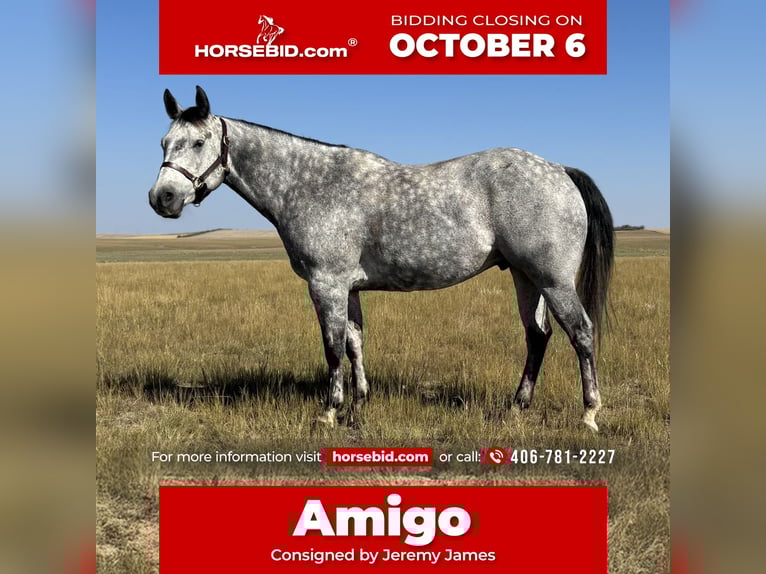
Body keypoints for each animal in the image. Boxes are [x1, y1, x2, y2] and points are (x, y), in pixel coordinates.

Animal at [149, 86, 614, 431]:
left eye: (199, 141)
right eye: (164, 143)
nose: (162, 198)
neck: (309, 184)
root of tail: (559, 169)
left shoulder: (326, 284)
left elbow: (333, 347)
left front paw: (329, 412)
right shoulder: (349, 287)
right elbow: (355, 344)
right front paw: (359, 406)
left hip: (552, 280)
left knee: (581, 333)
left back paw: (589, 414)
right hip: (524, 276)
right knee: (538, 336)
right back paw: (517, 407)